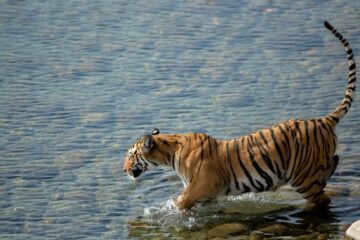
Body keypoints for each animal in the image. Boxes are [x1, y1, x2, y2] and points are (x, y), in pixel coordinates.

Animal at [122, 21, 356, 209]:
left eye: (131, 154)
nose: (123, 169)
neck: (170, 152)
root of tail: (323, 120)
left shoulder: (198, 188)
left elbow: (179, 204)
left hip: (303, 178)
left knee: (322, 199)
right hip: (314, 170)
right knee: (332, 166)